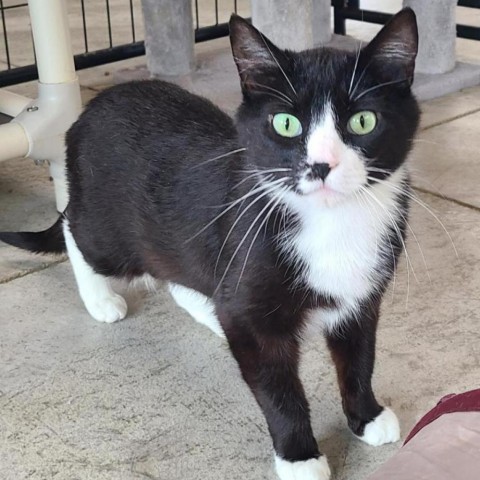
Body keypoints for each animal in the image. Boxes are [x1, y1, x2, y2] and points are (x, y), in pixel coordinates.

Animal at [0, 8, 420, 480]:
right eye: (286, 124)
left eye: (363, 121)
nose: (321, 165)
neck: (333, 223)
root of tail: (89, 110)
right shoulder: (252, 303)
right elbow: (277, 387)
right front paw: (300, 456)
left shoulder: (361, 295)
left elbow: (359, 356)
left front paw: (367, 415)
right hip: (108, 232)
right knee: (78, 232)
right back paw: (100, 299)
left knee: (185, 272)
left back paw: (207, 312)